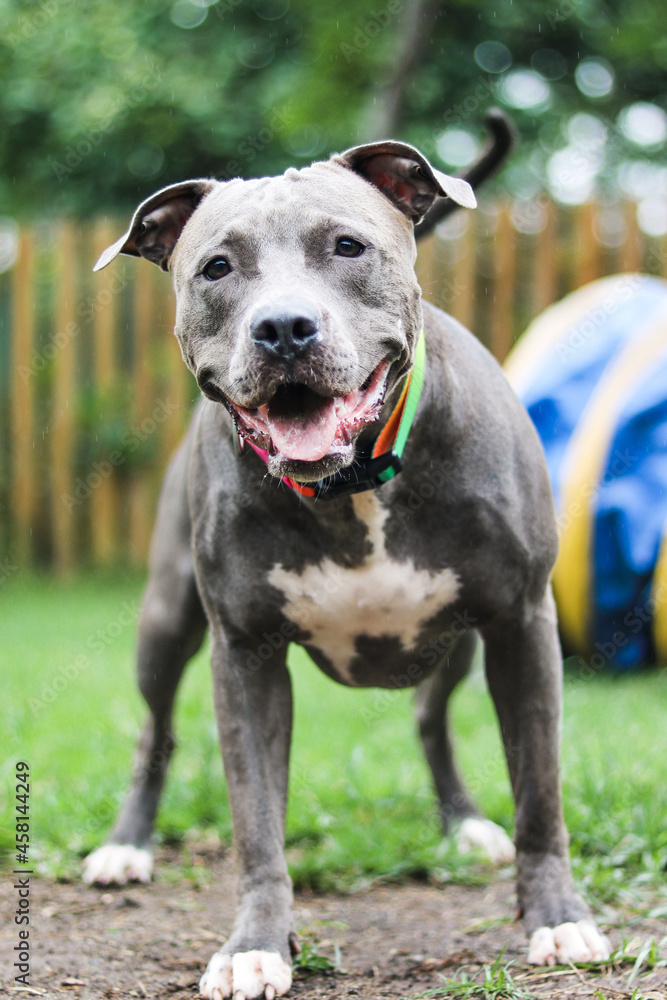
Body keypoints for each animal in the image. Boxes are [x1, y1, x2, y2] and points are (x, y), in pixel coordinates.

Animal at [83, 135, 612, 1000]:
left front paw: (557, 918)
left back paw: (465, 824)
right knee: (153, 732)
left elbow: (540, 792)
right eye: (216, 267)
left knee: (432, 720)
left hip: (460, 643)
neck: (352, 482)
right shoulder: (245, 657)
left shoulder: (521, 625)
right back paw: (127, 845)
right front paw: (256, 945)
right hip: (165, 622)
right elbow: (256, 822)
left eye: (347, 247)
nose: (284, 327)